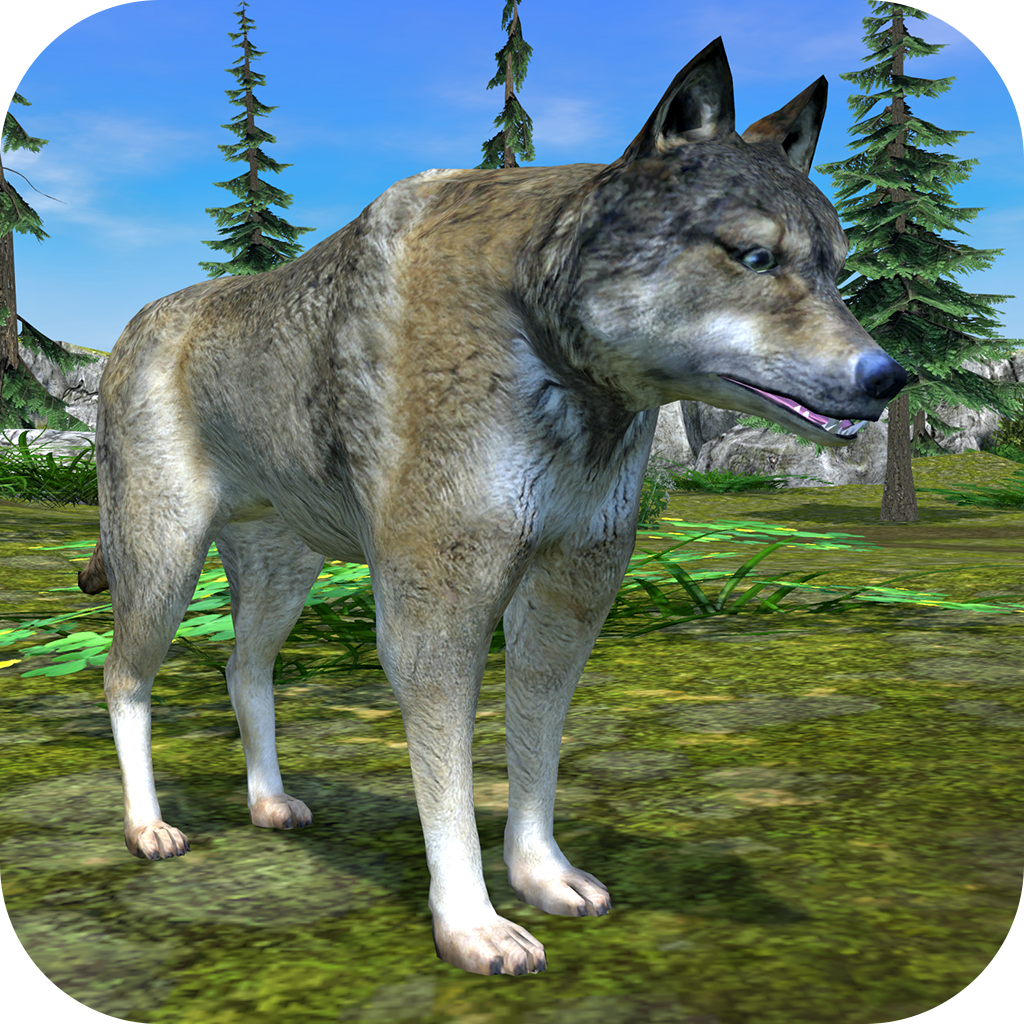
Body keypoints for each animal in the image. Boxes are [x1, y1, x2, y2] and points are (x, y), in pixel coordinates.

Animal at [77, 36, 905, 975]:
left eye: (836, 270)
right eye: (754, 257)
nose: (890, 378)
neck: (544, 339)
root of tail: (130, 332)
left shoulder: (570, 597)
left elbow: (536, 749)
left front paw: (542, 875)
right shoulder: (435, 614)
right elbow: (451, 788)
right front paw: (472, 925)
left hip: (283, 572)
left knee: (242, 669)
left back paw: (268, 802)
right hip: (163, 563)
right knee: (123, 677)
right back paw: (147, 827)